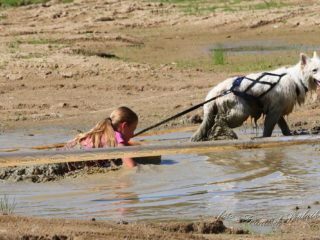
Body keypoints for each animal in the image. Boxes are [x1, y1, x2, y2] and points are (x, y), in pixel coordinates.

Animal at [191, 50, 320, 141]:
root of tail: (214, 92)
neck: (296, 78)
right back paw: (229, 133)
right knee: (220, 120)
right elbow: (268, 130)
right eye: (314, 70)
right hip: (241, 112)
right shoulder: (274, 111)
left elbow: (284, 127)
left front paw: (288, 135)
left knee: (212, 124)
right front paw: (264, 138)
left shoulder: (277, 110)